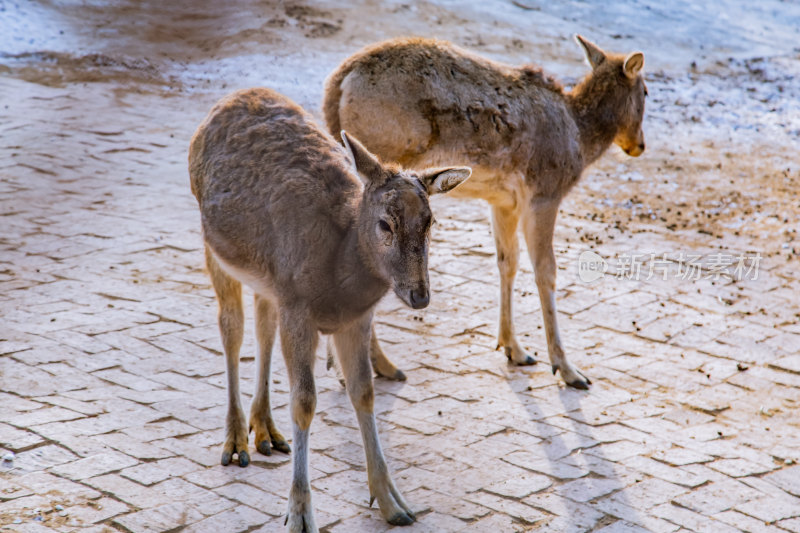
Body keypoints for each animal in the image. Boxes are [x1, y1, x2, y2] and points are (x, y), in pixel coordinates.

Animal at [190, 87, 472, 528]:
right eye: (385, 223)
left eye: (430, 222)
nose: (420, 295)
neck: (337, 277)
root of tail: (233, 98)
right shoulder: (298, 306)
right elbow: (305, 402)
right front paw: (300, 516)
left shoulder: (353, 319)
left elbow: (364, 392)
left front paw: (394, 503)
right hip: (212, 246)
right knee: (231, 329)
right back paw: (236, 443)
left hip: (268, 281)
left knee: (263, 326)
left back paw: (266, 431)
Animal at [322, 35, 648, 388]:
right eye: (646, 92)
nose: (639, 145)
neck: (580, 140)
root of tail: (336, 84)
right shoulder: (545, 192)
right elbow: (546, 270)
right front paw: (567, 369)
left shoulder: (503, 201)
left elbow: (507, 261)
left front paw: (514, 348)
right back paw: (380, 365)